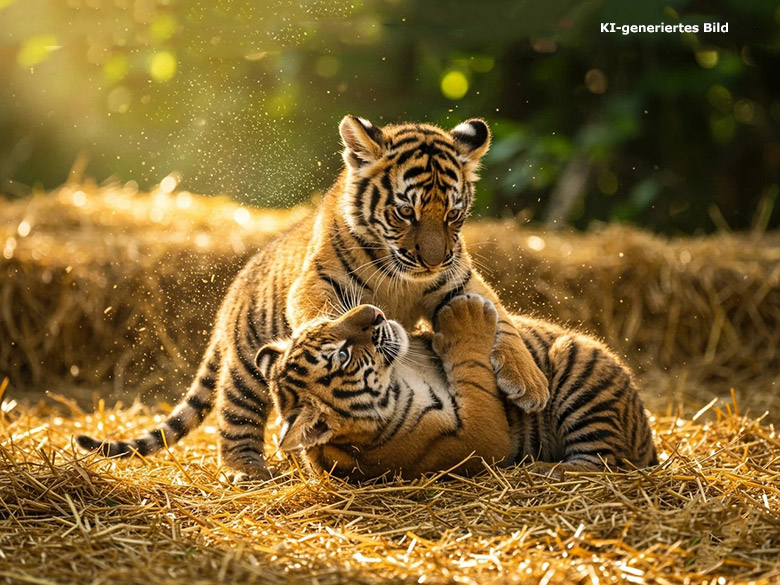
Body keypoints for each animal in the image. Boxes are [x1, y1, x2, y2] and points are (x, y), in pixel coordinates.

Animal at [77, 116, 549, 480]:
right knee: (235, 412)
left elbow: (503, 321)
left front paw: (531, 383)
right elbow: (319, 311)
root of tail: (233, 292)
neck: (405, 279)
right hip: (246, 362)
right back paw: (246, 469)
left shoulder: (458, 280)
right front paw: (324, 335)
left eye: (453, 214)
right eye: (404, 212)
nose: (431, 259)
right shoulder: (320, 280)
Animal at [254, 294, 658, 480]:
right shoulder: (477, 437)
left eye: (326, 323)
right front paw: (466, 314)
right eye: (342, 354)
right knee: (601, 464)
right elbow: (472, 371)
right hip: (579, 366)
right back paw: (537, 470)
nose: (375, 313)